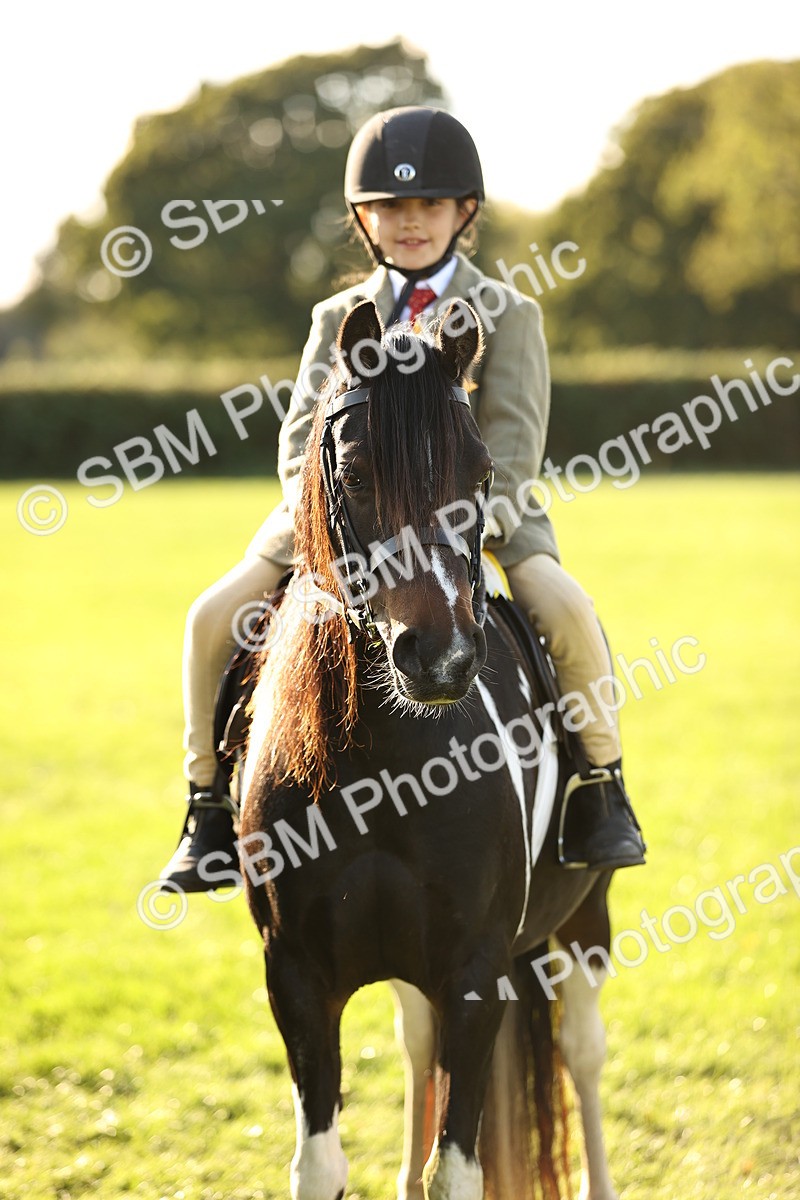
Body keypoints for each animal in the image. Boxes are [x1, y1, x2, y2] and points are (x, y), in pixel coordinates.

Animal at [237, 298, 622, 1200]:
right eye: (354, 473)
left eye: (480, 477)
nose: (441, 657)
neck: (383, 762)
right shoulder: (297, 977)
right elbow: (322, 1163)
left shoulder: (475, 976)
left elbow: (459, 1169)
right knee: (418, 1049)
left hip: (586, 913)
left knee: (583, 1054)